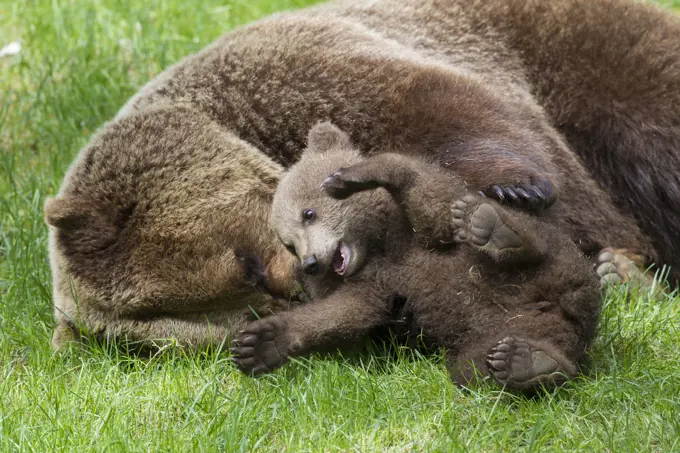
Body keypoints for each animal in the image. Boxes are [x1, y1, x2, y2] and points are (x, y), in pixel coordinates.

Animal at [46, 0, 680, 346]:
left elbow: (457, 116)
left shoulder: (307, 74)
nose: (299, 278)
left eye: (247, 266)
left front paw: (514, 194)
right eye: (242, 312)